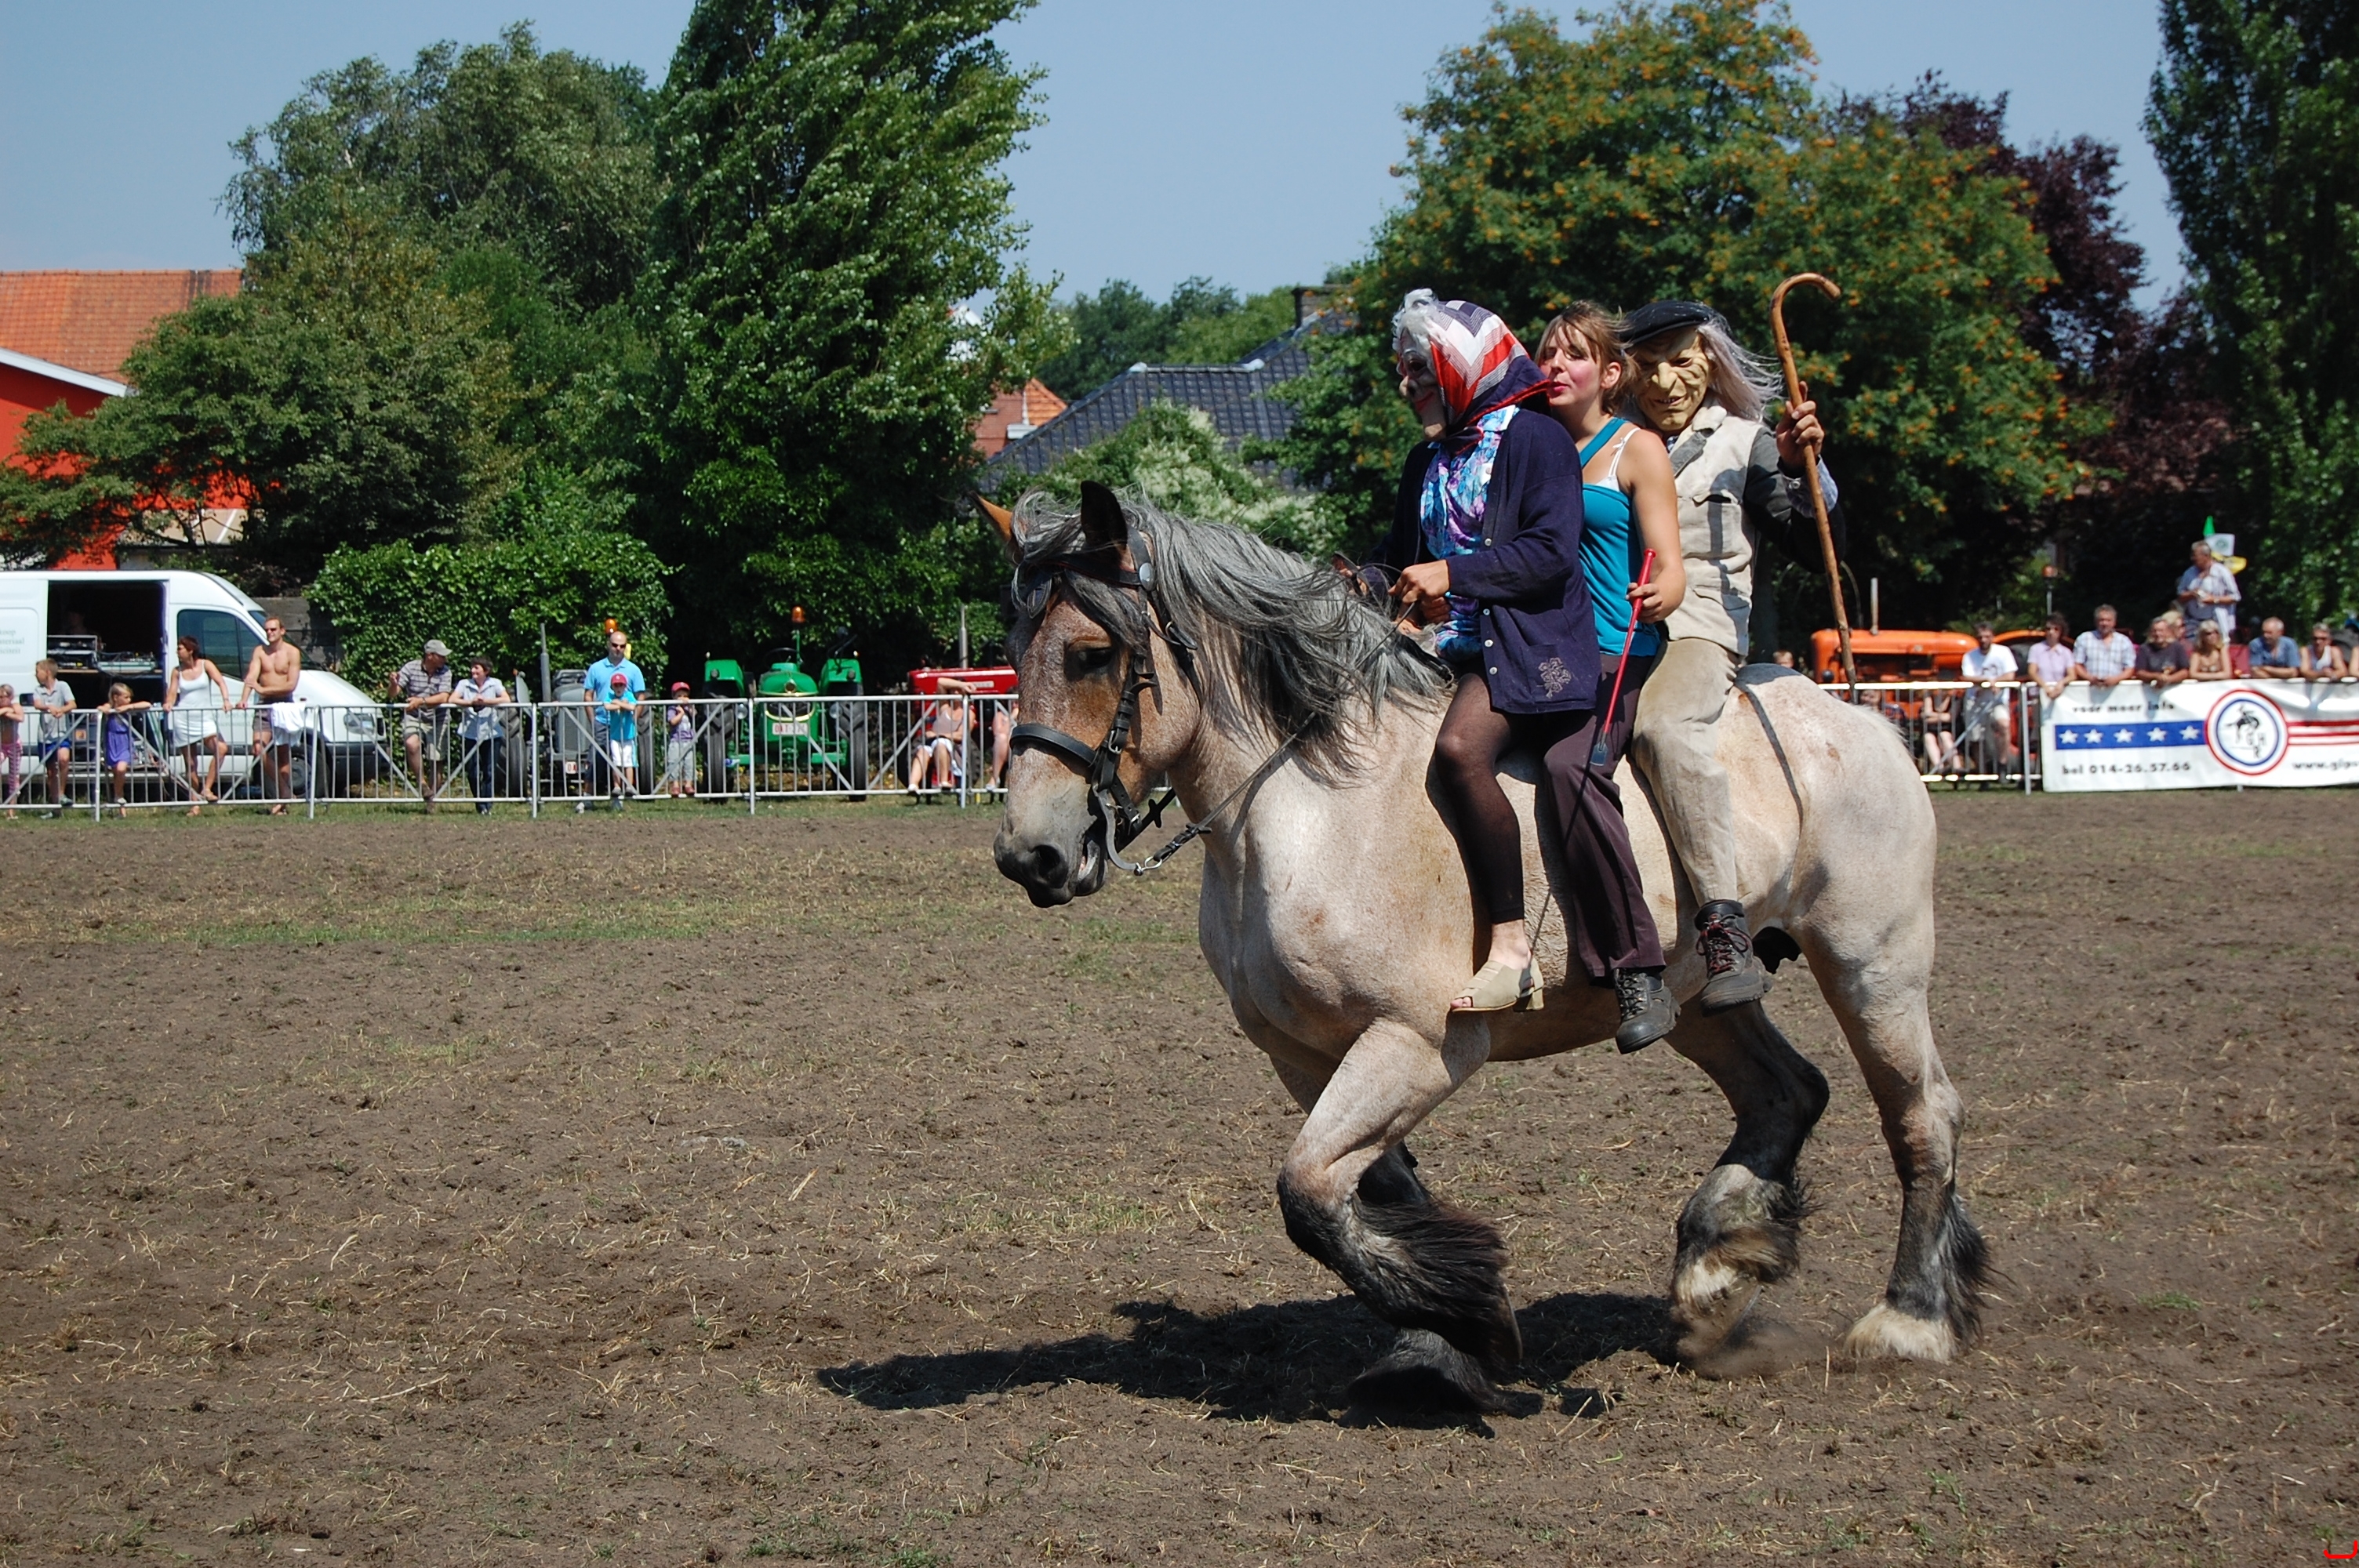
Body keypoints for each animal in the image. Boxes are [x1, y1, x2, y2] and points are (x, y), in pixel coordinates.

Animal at [988, 482, 1986, 1410]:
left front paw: (1468, 1322)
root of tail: (1860, 716)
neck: (1312, 805)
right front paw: (1443, 1336)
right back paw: (1713, 1271)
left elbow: (1307, 1192)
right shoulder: (1303, 1055)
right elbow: (1368, 1197)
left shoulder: (1418, 1041)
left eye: (1089, 653)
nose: (1029, 854)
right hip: (1700, 996)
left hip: (1872, 966)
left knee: (1921, 1114)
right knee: (1788, 1091)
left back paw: (1905, 1317)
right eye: (1010, 649)